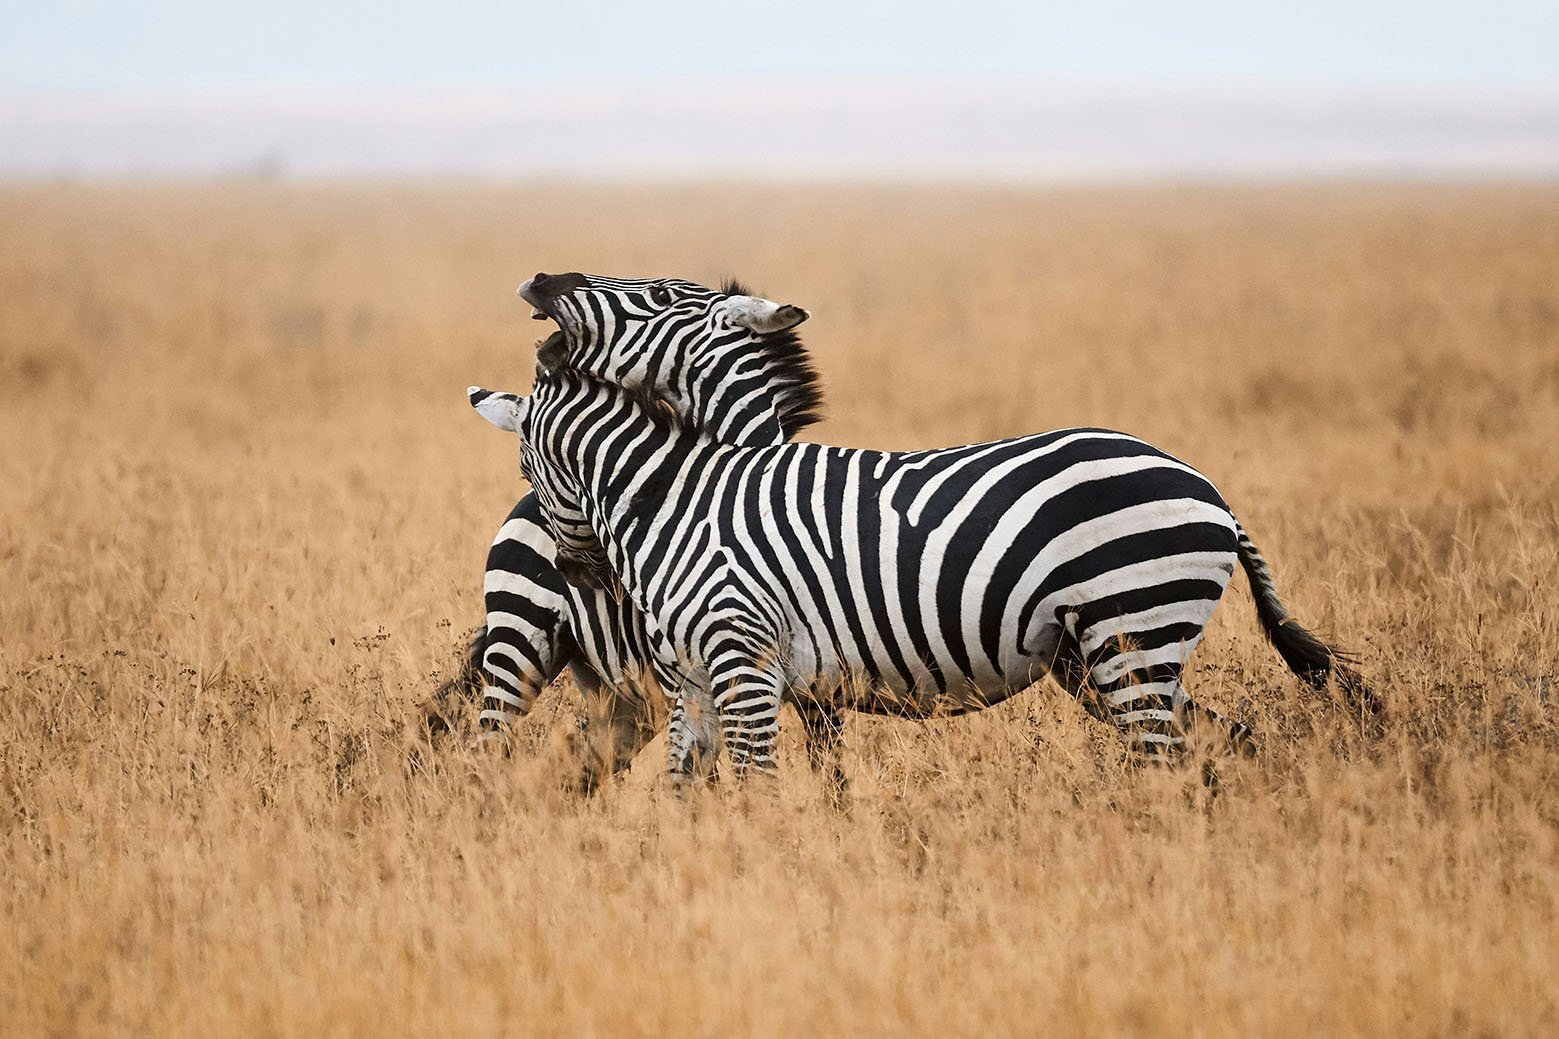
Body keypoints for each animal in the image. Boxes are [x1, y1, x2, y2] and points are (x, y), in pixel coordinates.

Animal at [420, 274, 835, 786]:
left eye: (661, 296)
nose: (542, 281)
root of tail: (525, 507)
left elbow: (830, 770)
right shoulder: (692, 672)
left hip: (612, 689)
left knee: (575, 768)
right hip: (522, 637)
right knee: (491, 743)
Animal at [467, 271, 1371, 773]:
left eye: (654, 293)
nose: (539, 281)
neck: (683, 491)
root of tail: (1208, 488)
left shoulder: (746, 663)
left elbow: (760, 783)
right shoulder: (724, 676)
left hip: (1132, 632)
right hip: (1113, 653)